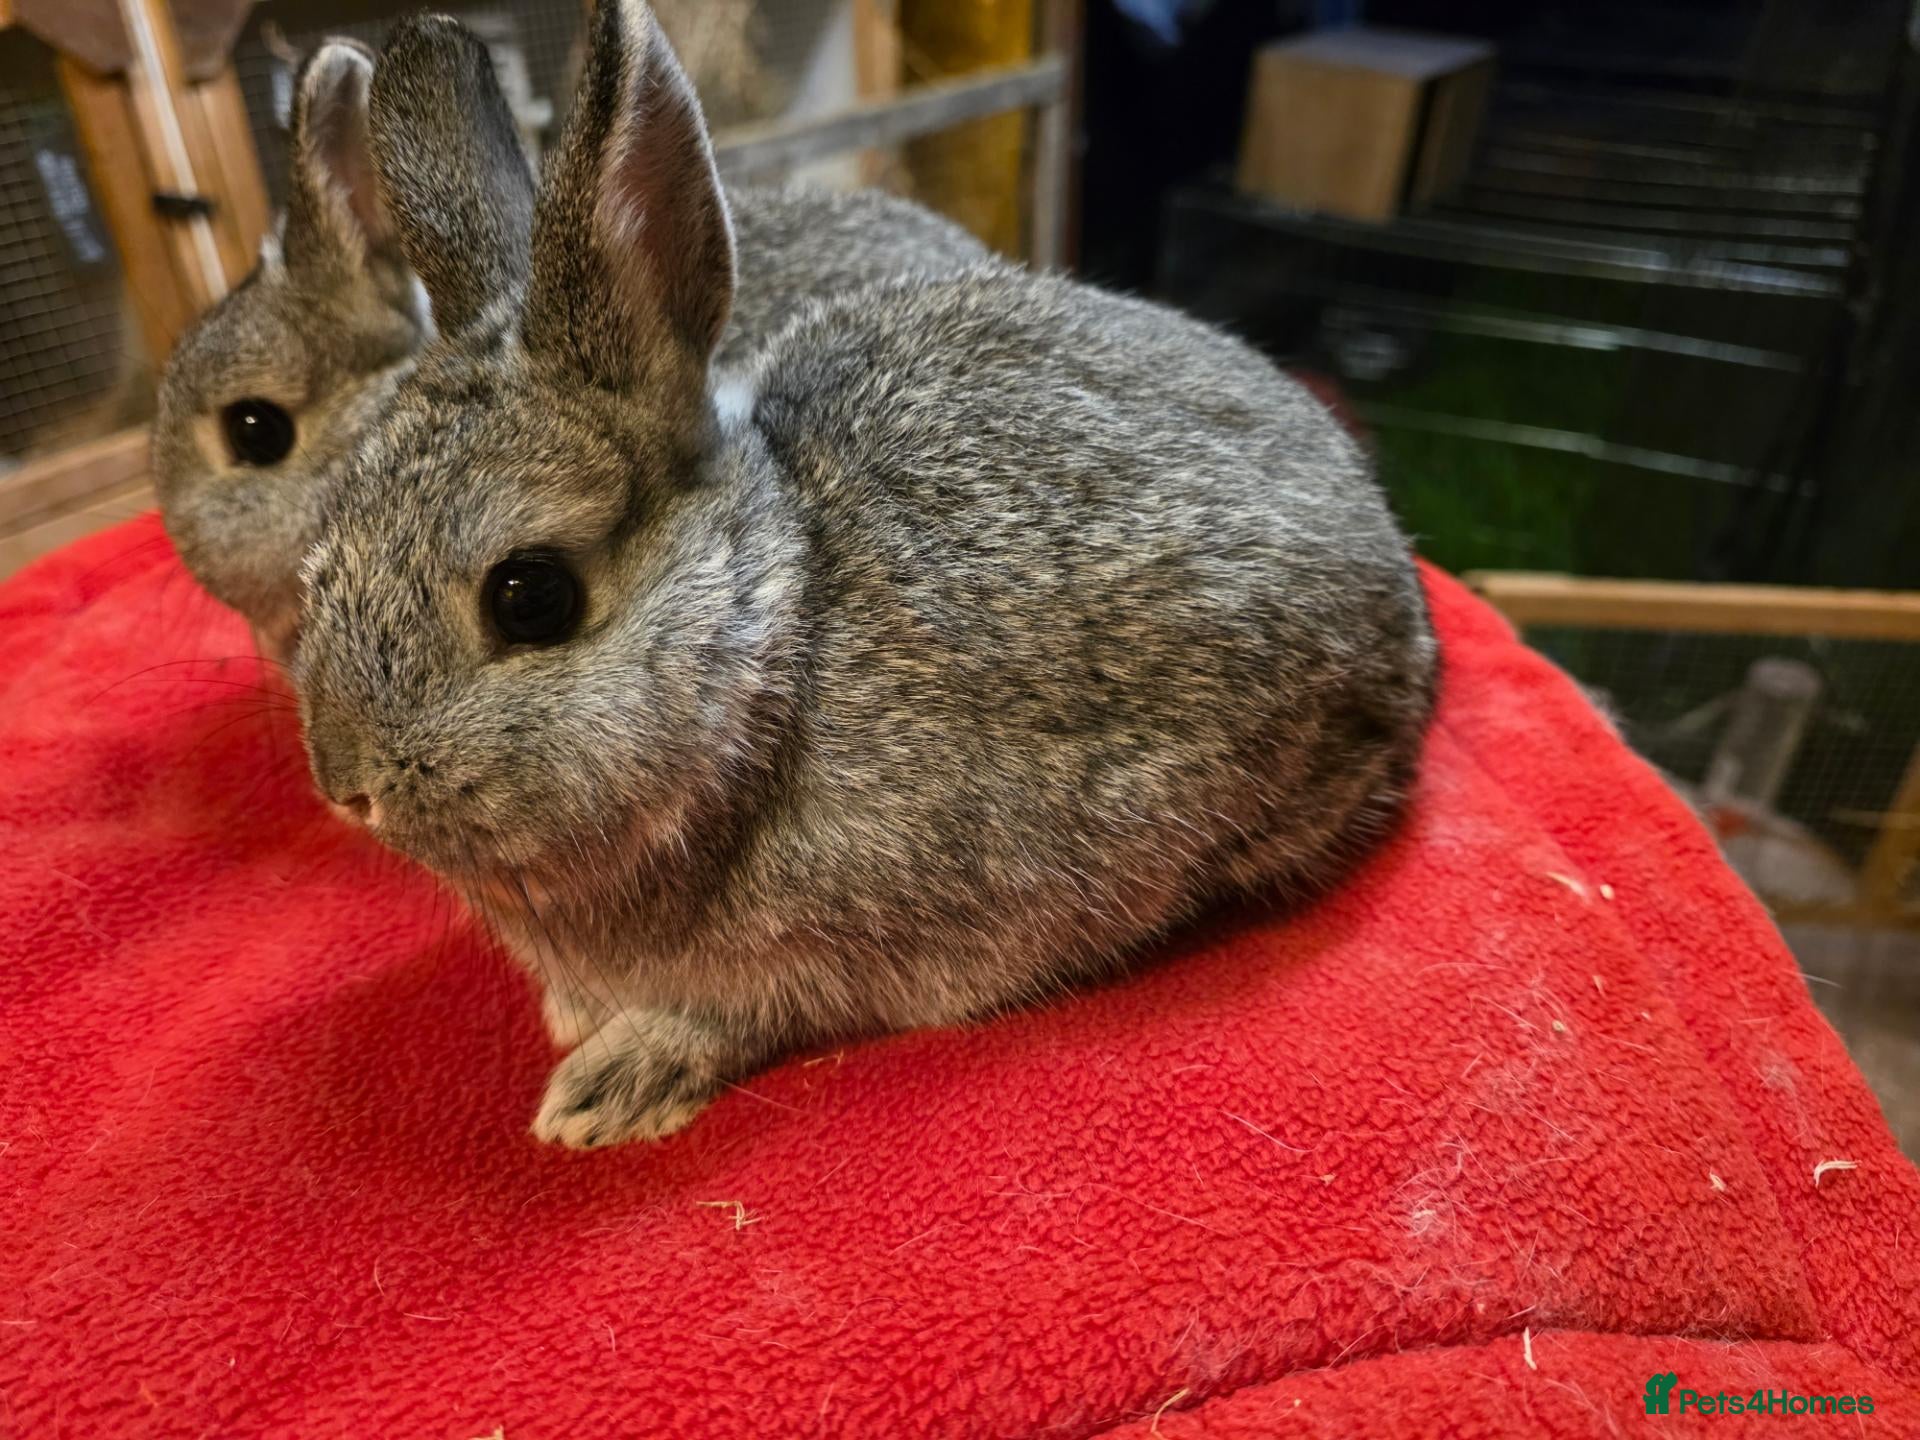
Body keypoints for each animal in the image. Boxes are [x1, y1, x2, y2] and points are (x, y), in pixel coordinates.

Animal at [293, 0, 1437, 1149]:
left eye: (530, 596)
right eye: (325, 548)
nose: (349, 789)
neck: (776, 645)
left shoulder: (860, 944)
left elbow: (739, 1015)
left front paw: (604, 1087)